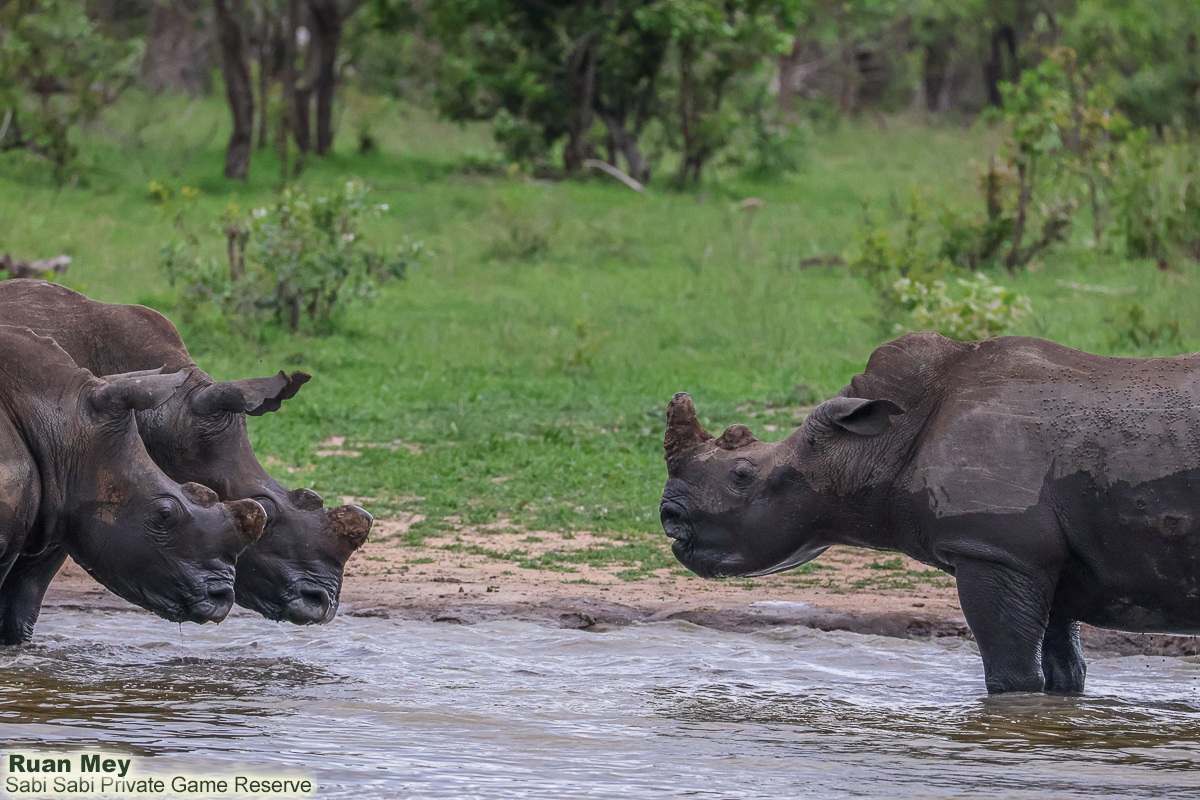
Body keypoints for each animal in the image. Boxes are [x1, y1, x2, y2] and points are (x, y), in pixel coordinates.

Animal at [661, 332, 1200, 694]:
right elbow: (1063, 672)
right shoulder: (1038, 557)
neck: (873, 442)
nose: (669, 517)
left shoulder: (995, 549)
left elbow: (1011, 675)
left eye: (742, 475)